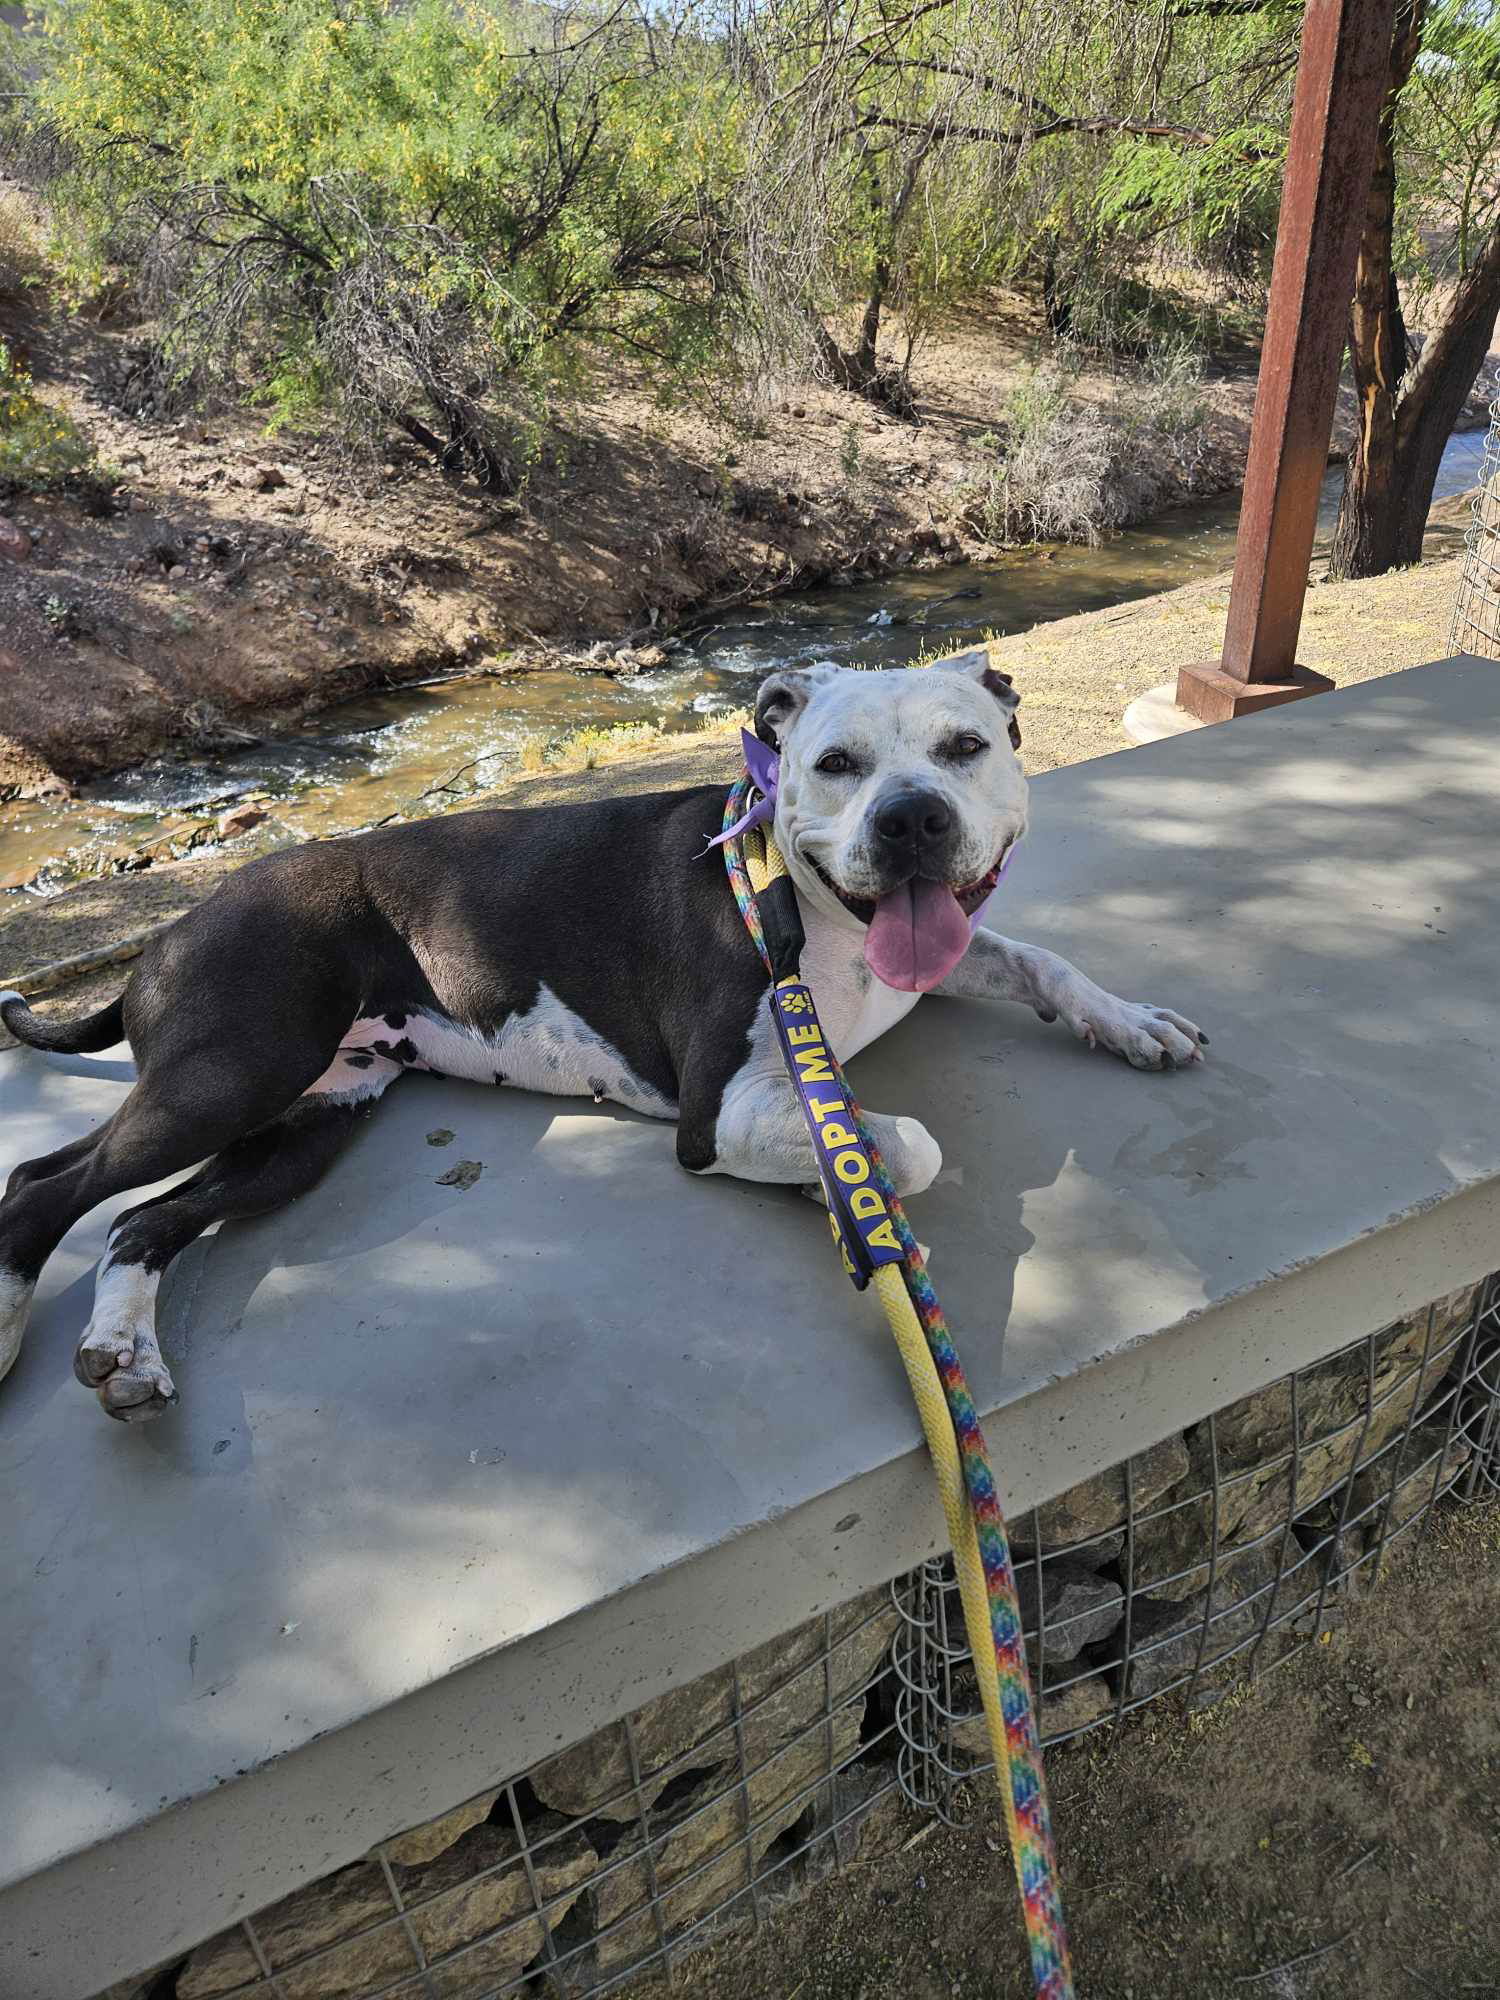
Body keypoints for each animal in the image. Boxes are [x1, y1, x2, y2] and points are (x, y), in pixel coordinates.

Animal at [0, 648, 1200, 1416]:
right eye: (835, 765)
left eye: (964, 747)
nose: (911, 818)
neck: (814, 907)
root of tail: (172, 925)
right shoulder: (721, 1112)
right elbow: (903, 1142)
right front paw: (843, 1196)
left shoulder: (941, 958)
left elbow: (1040, 960)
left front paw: (1128, 1019)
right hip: (232, 1069)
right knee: (45, 1183)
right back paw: (14, 1322)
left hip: (304, 1124)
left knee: (141, 1219)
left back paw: (120, 1347)